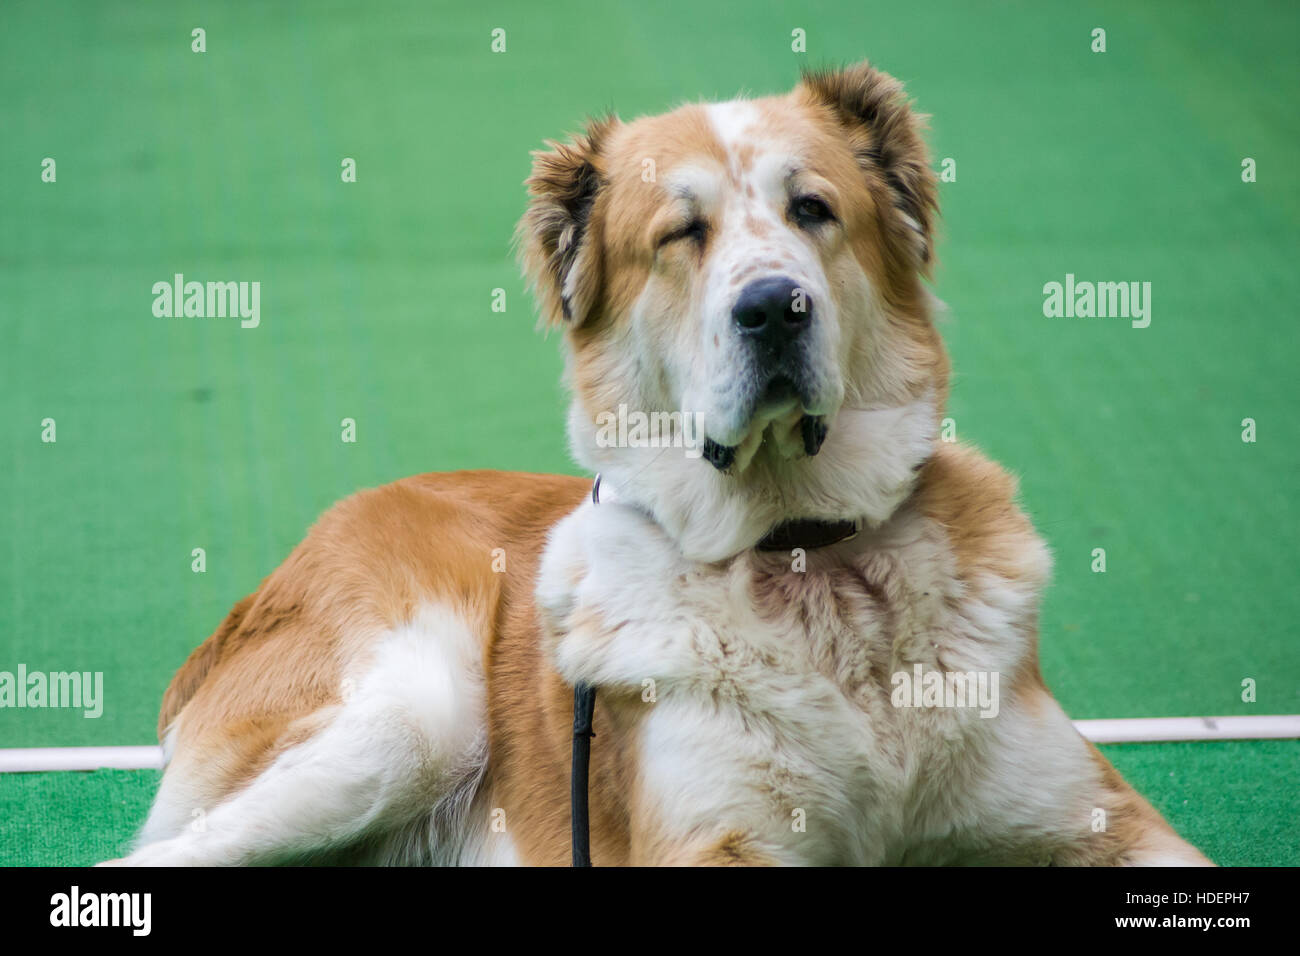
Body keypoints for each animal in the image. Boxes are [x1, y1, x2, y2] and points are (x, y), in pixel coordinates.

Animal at [109, 59, 1206, 868]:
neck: (807, 557)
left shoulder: (1107, 821)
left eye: (813, 210)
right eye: (681, 233)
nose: (773, 307)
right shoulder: (713, 843)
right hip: (410, 719)